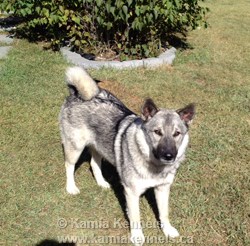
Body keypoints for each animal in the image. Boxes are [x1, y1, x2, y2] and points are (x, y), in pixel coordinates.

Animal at [59, 66, 195, 245]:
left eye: (177, 134)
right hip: (75, 147)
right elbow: (136, 217)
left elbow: (164, 212)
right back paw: (71, 187)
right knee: (69, 165)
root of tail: (78, 94)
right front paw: (137, 236)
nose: (169, 155)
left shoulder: (163, 188)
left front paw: (167, 230)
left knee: (94, 163)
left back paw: (102, 183)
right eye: (157, 132)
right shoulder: (132, 192)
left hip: (99, 147)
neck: (154, 166)